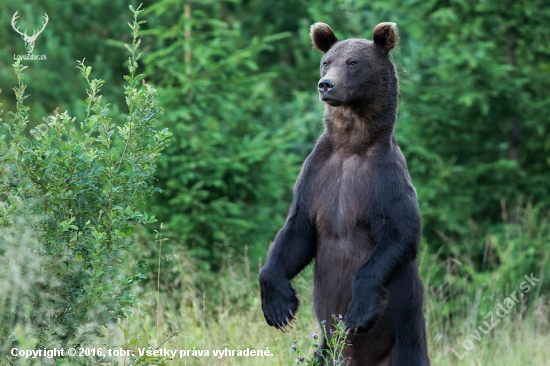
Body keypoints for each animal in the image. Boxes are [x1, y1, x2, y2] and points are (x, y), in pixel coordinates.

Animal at [260, 23, 434, 366]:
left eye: (353, 63)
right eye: (326, 61)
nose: (326, 85)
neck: (351, 144)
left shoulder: (384, 180)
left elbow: (400, 233)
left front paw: (358, 313)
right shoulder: (316, 176)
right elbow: (296, 232)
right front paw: (279, 306)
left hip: (405, 335)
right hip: (326, 349)